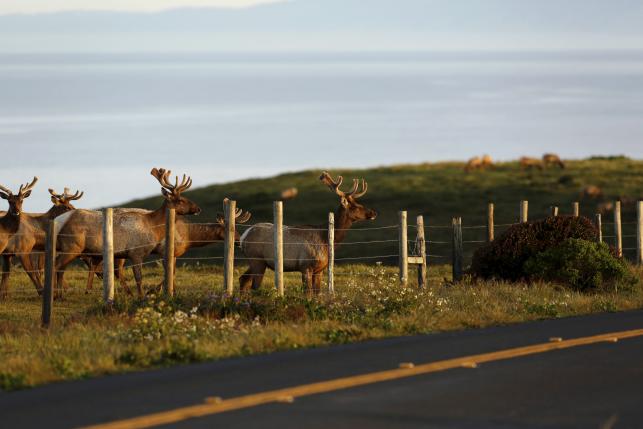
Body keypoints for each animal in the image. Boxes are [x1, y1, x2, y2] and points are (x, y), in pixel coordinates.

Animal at [56, 168, 200, 298]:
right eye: (180, 200)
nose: (198, 208)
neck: (153, 227)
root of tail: (59, 221)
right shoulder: (136, 252)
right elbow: (138, 277)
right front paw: (141, 296)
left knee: (61, 267)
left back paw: (61, 294)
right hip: (72, 246)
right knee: (58, 265)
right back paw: (57, 295)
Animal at [240, 171, 378, 294]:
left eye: (358, 202)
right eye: (355, 206)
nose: (373, 212)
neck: (325, 240)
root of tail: (244, 236)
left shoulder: (319, 269)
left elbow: (317, 293)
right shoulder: (305, 265)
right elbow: (308, 293)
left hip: (256, 261)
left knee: (243, 279)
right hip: (257, 259)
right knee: (254, 286)